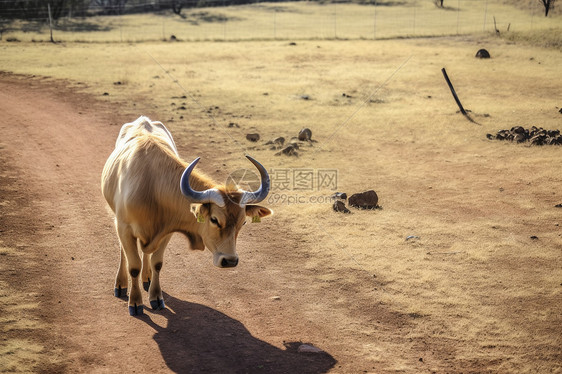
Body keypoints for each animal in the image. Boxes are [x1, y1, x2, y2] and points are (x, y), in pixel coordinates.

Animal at [103, 117, 274, 316]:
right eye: (214, 219)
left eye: (243, 222)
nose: (230, 261)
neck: (151, 186)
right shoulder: (125, 228)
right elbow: (133, 266)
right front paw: (135, 302)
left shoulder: (166, 232)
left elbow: (157, 263)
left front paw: (156, 297)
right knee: (124, 253)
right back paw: (121, 284)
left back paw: (147, 278)